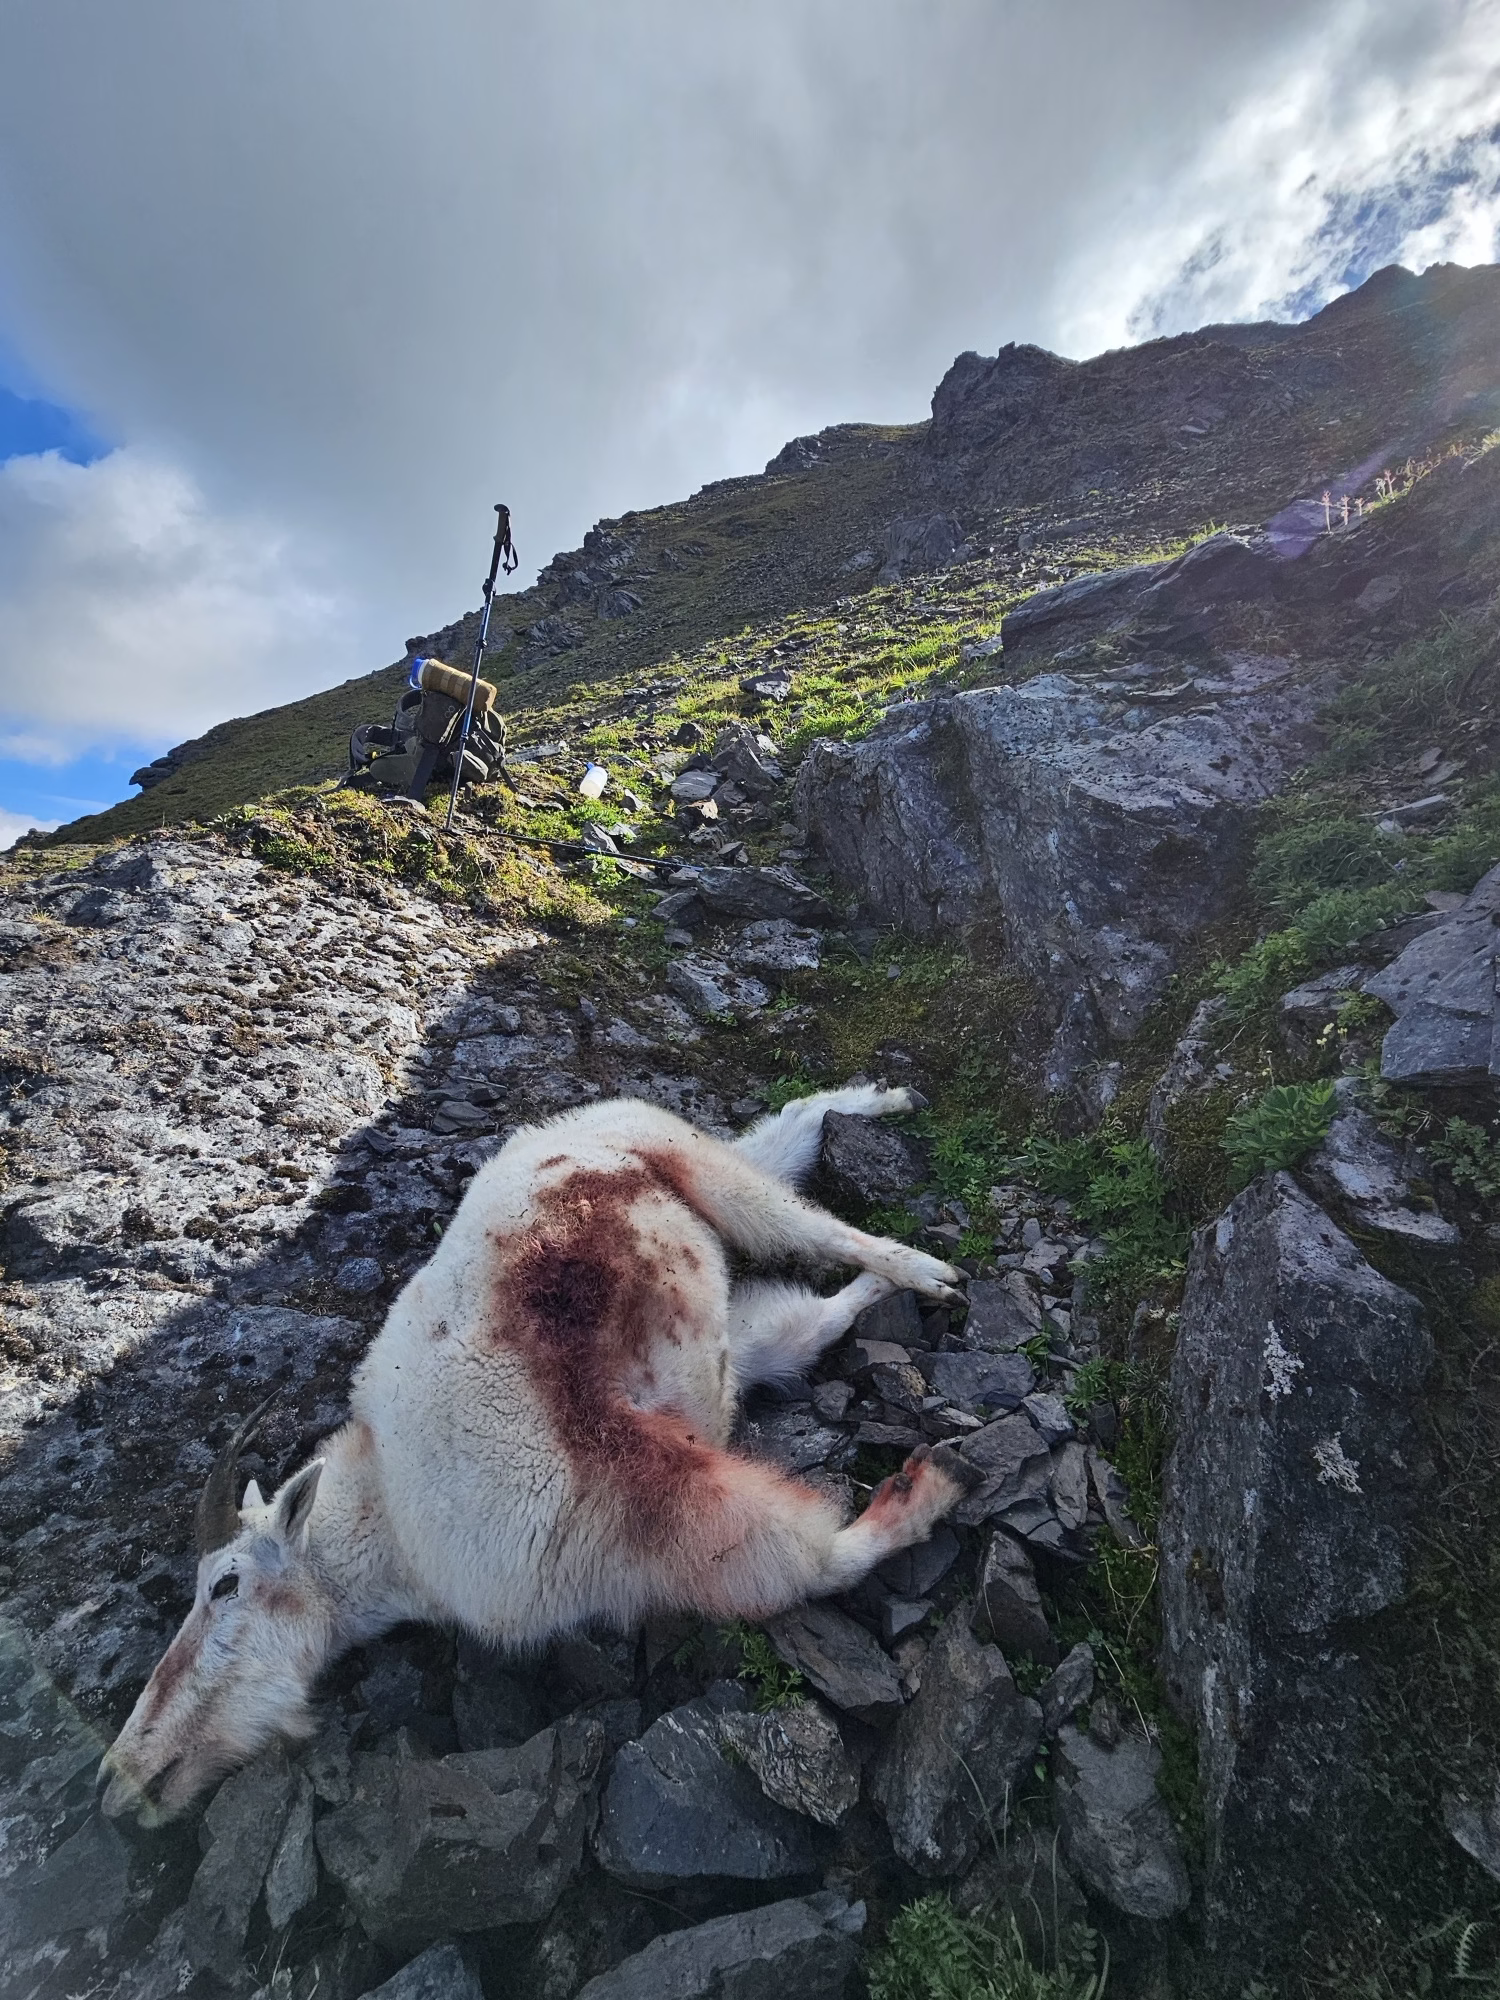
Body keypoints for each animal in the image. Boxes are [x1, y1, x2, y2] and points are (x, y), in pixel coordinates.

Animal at [99, 1084, 971, 1820]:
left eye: (224, 1585)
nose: (118, 1777)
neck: (397, 1524)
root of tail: (588, 1118)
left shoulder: (618, 1477)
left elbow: (810, 1561)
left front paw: (933, 1482)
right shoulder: (721, 1371)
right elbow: (807, 1327)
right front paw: (868, 1307)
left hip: (703, 1170)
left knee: (812, 1221)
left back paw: (930, 1270)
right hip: (700, 1165)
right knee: (785, 1139)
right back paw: (885, 1109)